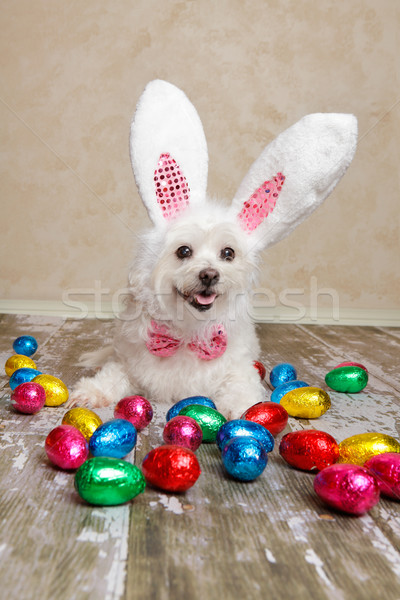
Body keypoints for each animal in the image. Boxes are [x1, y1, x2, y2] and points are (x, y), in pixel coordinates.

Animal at [69, 78, 356, 418]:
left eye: (228, 253)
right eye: (183, 251)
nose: (209, 275)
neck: (188, 333)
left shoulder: (237, 370)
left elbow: (241, 390)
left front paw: (249, 413)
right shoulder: (128, 363)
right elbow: (111, 376)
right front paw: (90, 392)